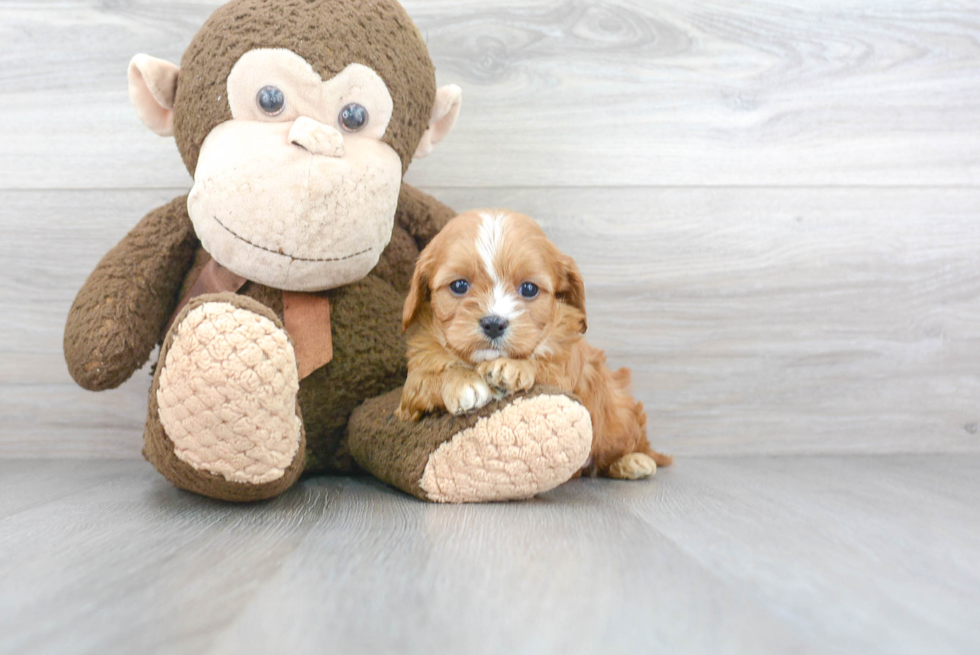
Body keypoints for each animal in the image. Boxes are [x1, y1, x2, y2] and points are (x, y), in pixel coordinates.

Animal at [394, 210, 668, 482]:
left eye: (528, 289)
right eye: (459, 286)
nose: (494, 323)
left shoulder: (565, 370)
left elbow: (544, 366)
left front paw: (511, 368)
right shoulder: (410, 393)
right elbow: (426, 379)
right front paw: (463, 383)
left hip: (620, 414)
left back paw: (633, 461)